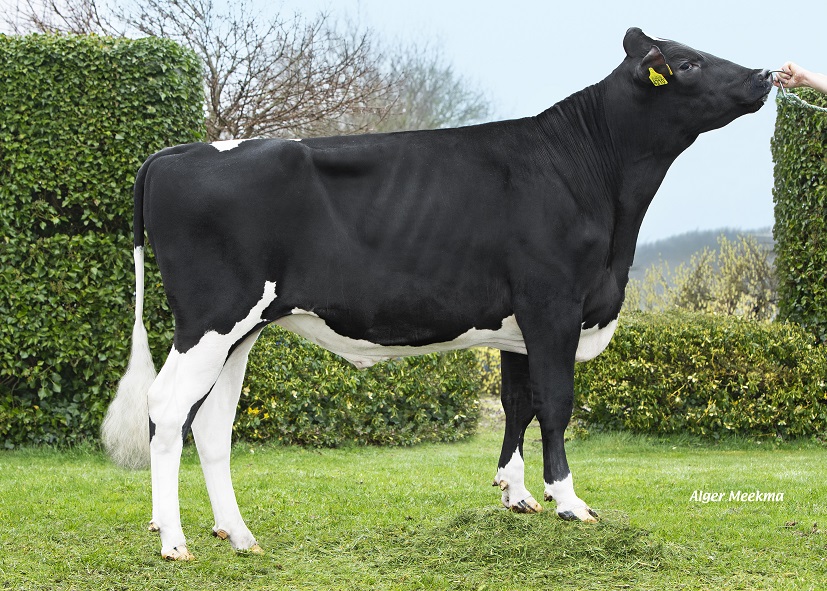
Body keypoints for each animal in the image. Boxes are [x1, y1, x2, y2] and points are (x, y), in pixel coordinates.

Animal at [102, 27, 772, 560]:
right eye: (686, 64)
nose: (764, 74)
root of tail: (175, 153)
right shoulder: (552, 305)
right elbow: (555, 405)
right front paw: (569, 502)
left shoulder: (519, 324)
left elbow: (517, 404)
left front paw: (516, 494)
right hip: (210, 318)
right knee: (167, 407)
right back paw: (174, 541)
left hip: (245, 328)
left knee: (213, 422)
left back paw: (238, 536)